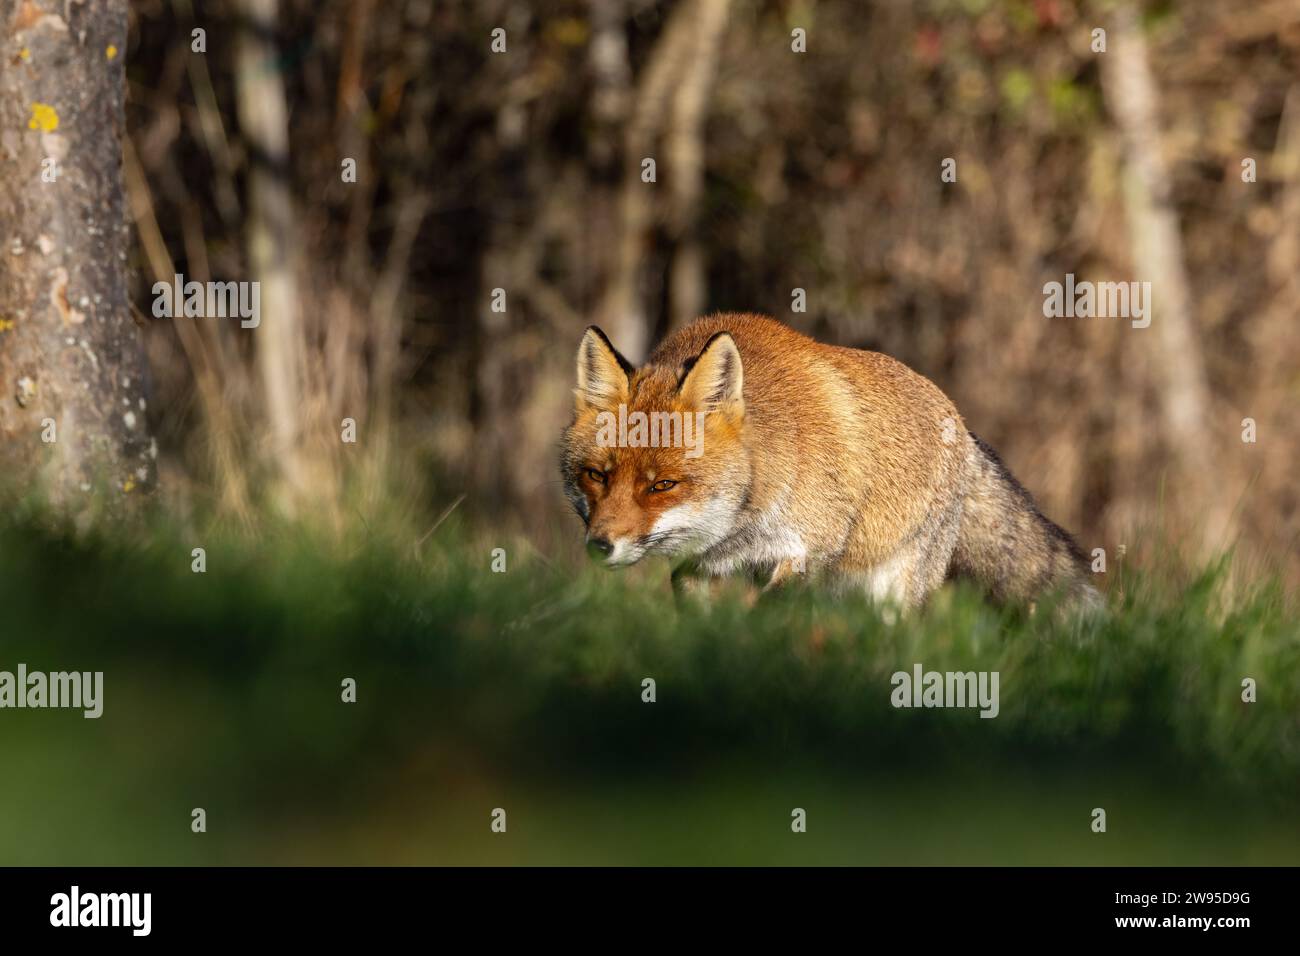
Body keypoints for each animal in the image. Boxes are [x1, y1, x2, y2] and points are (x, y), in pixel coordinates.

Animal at [560, 313, 1100, 612]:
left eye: (663, 485)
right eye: (596, 475)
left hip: (894, 587)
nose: (600, 547)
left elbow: (770, 611)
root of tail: (962, 427)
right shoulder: (699, 565)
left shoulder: (811, 548)